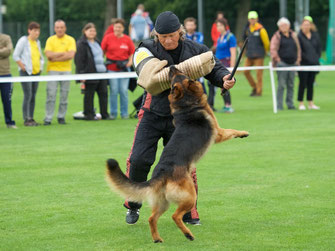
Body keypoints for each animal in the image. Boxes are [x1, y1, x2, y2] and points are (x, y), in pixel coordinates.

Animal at [106, 65, 251, 242]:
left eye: (175, 75)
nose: (171, 66)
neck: (187, 103)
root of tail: (160, 174)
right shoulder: (218, 133)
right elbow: (232, 130)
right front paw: (243, 133)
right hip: (190, 196)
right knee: (175, 216)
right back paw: (188, 235)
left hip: (163, 202)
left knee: (152, 218)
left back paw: (157, 239)